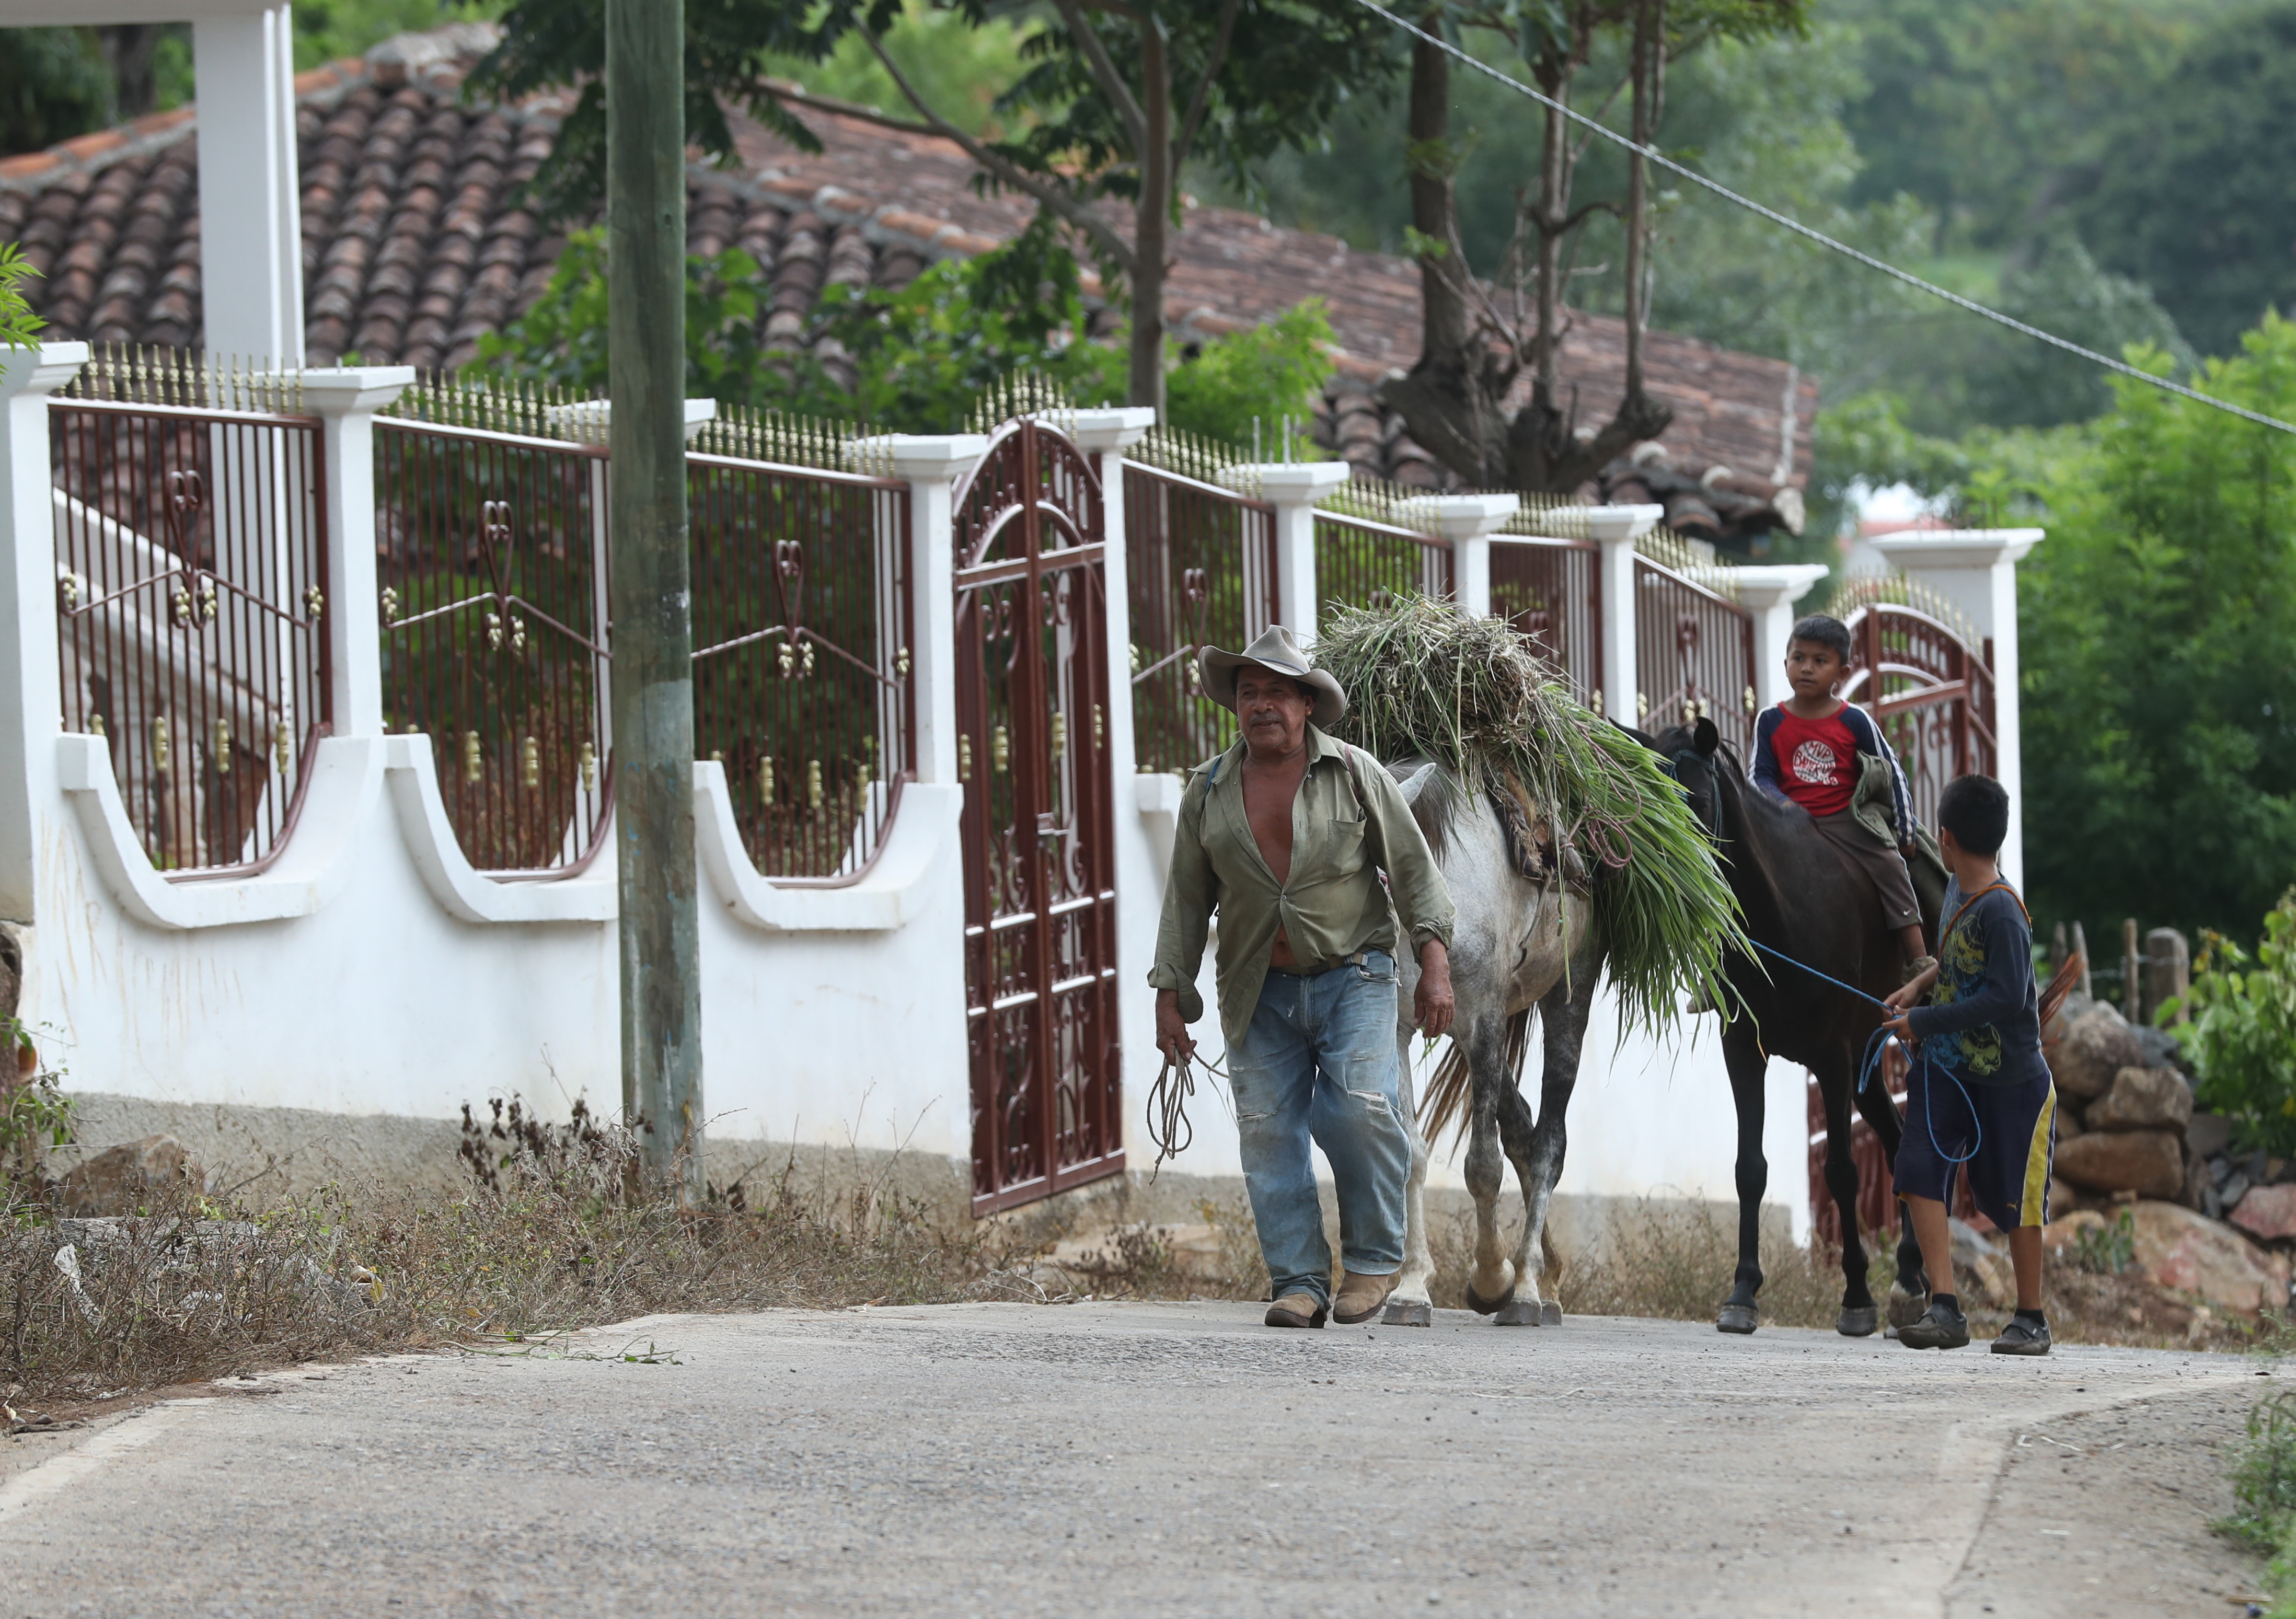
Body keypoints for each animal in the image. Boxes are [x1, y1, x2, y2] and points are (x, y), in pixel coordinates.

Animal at [1368, 758, 1607, 1323]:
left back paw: (1527, 1288)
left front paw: (1492, 1277)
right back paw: (1548, 1279)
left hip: (1568, 997)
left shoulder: (1484, 1021)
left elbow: (1482, 1165)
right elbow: (1411, 1154)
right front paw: (1411, 1289)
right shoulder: (1398, 1028)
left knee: (1548, 1145)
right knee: (1521, 1129)